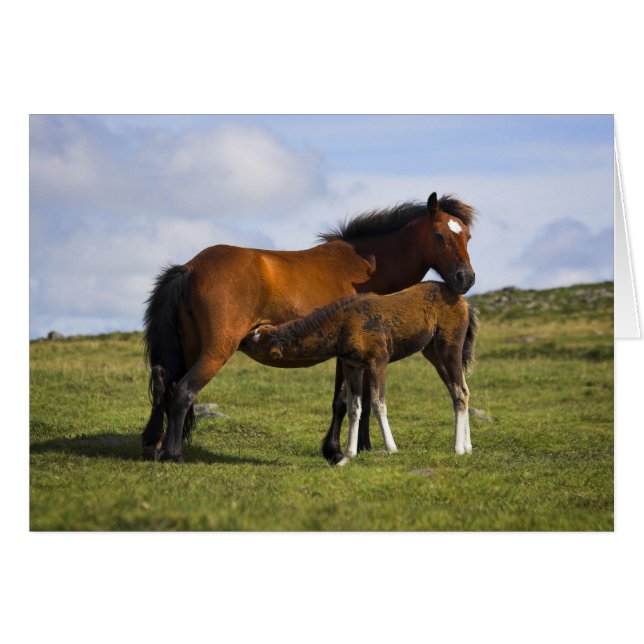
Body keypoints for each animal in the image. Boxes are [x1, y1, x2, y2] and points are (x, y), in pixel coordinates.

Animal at [241, 281, 479, 465]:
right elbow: (354, 407)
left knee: (459, 392)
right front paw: (348, 454)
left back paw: (458, 449)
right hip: (432, 352)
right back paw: (468, 447)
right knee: (462, 390)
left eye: (254, 341)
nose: (240, 339)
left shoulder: (378, 362)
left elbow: (377, 403)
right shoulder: (352, 366)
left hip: (449, 346)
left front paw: (391, 448)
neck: (342, 326)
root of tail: (465, 303)